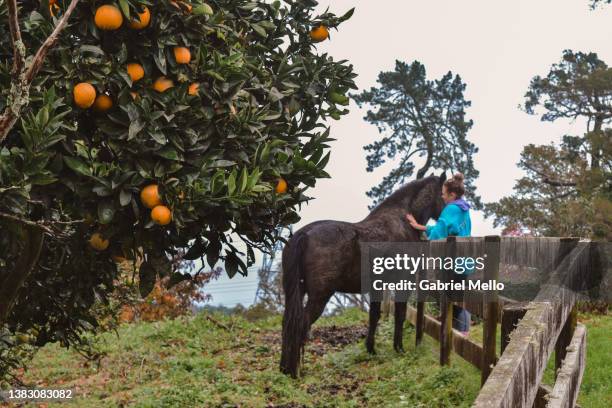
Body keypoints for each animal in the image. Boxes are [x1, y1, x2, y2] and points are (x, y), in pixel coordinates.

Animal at [280, 174, 448, 378]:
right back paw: (293, 372)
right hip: (319, 296)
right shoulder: (402, 283)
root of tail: (305, 234)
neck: (402, 220)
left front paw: (371, 349)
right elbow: (399, 315)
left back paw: (284, 369)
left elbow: (374, 316)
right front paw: (399, 348)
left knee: (288, 324)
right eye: (443, 194)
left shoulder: (377, 287)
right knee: (300, 324)